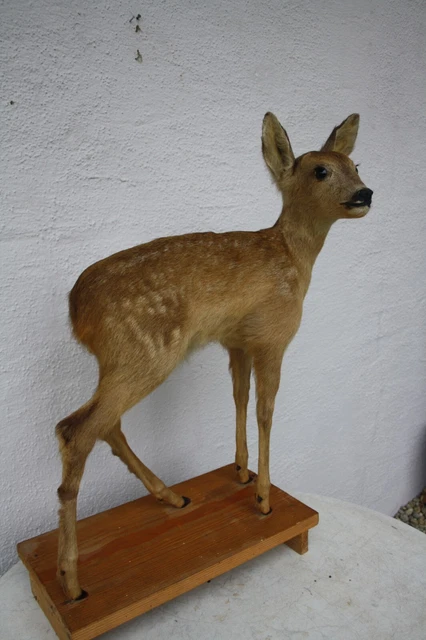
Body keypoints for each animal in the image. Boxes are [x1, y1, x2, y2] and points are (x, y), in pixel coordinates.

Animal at [55, 112, 373, 600]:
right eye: (321, 170)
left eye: (356, 164)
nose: (365, 193)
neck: (292, 259)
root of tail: (76, 312)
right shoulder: (273, 337)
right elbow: (265, 411)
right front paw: (264, 499)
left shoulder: (237, 341)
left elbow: (239, 399)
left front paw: (241, 472)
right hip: (143, 353)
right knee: (76, 430)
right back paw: (72, 584)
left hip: (122, 361)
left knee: (98, 425)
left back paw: (171, 496)